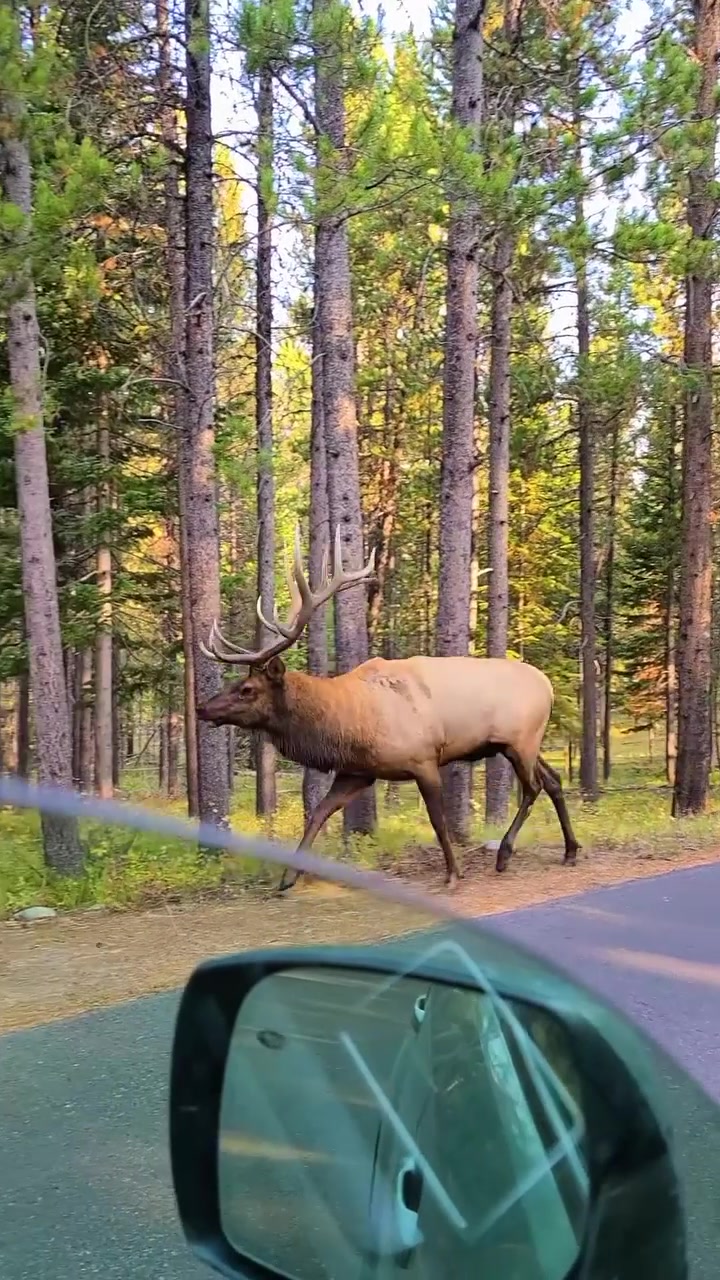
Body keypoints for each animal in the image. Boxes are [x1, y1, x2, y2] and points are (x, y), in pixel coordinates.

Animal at [196, 525, 580, 894]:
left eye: (247, 689)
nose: (202, 707)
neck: (347, 724)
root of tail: (549, 687)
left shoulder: (423, 759)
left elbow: (437, 820)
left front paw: (453, 874)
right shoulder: (357, 770)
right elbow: (318, 813)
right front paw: (288, 877)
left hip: (520, 741)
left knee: (533, 787)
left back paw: (504, 854)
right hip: (522, 744)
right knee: (554, 780)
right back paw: (570, 850)